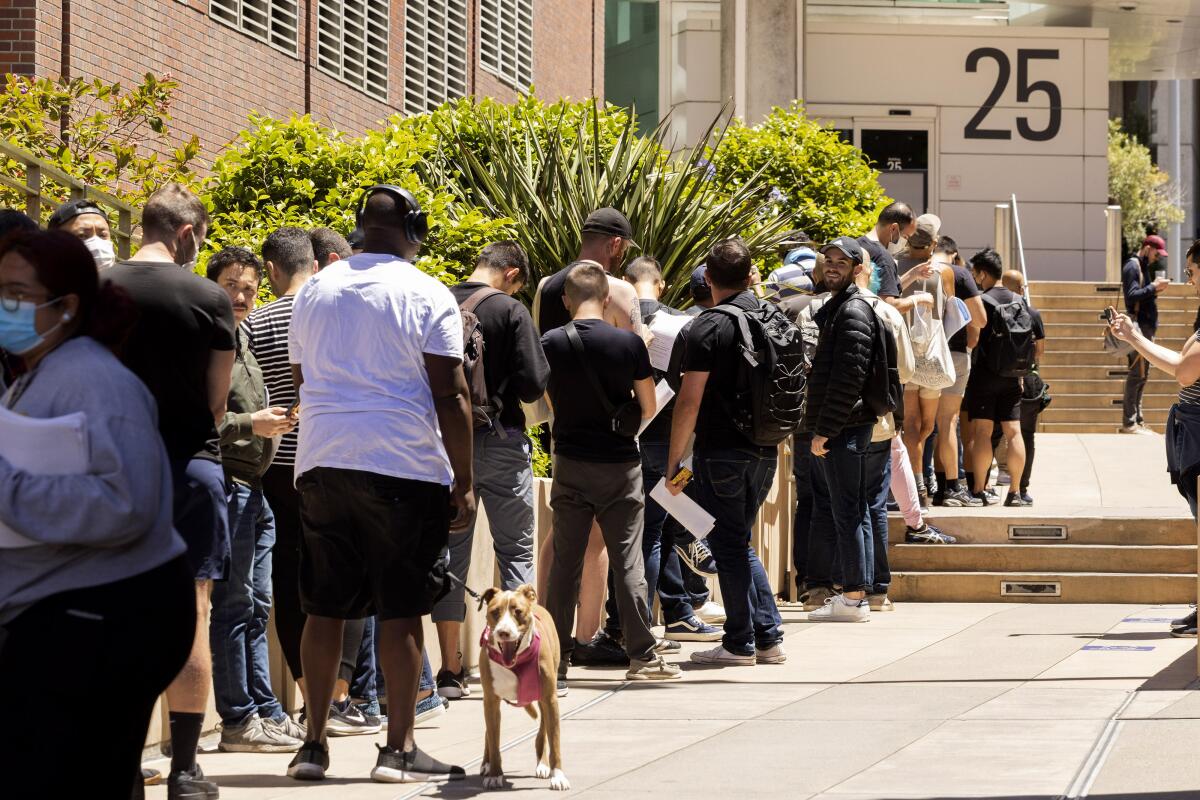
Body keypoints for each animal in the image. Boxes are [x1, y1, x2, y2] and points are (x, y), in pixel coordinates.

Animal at [475, 585, 568, 791]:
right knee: (488, 733)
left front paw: (558, 776)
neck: (516, 664)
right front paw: (495, 774)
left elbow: (555, 740)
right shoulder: (491, 701)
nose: (503, 632)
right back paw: (486, 763)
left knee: (543, 730)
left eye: (517, 611)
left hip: (542, 696)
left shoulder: (550, 698)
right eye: (495, 612)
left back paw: (543, 764)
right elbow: (493, 739)